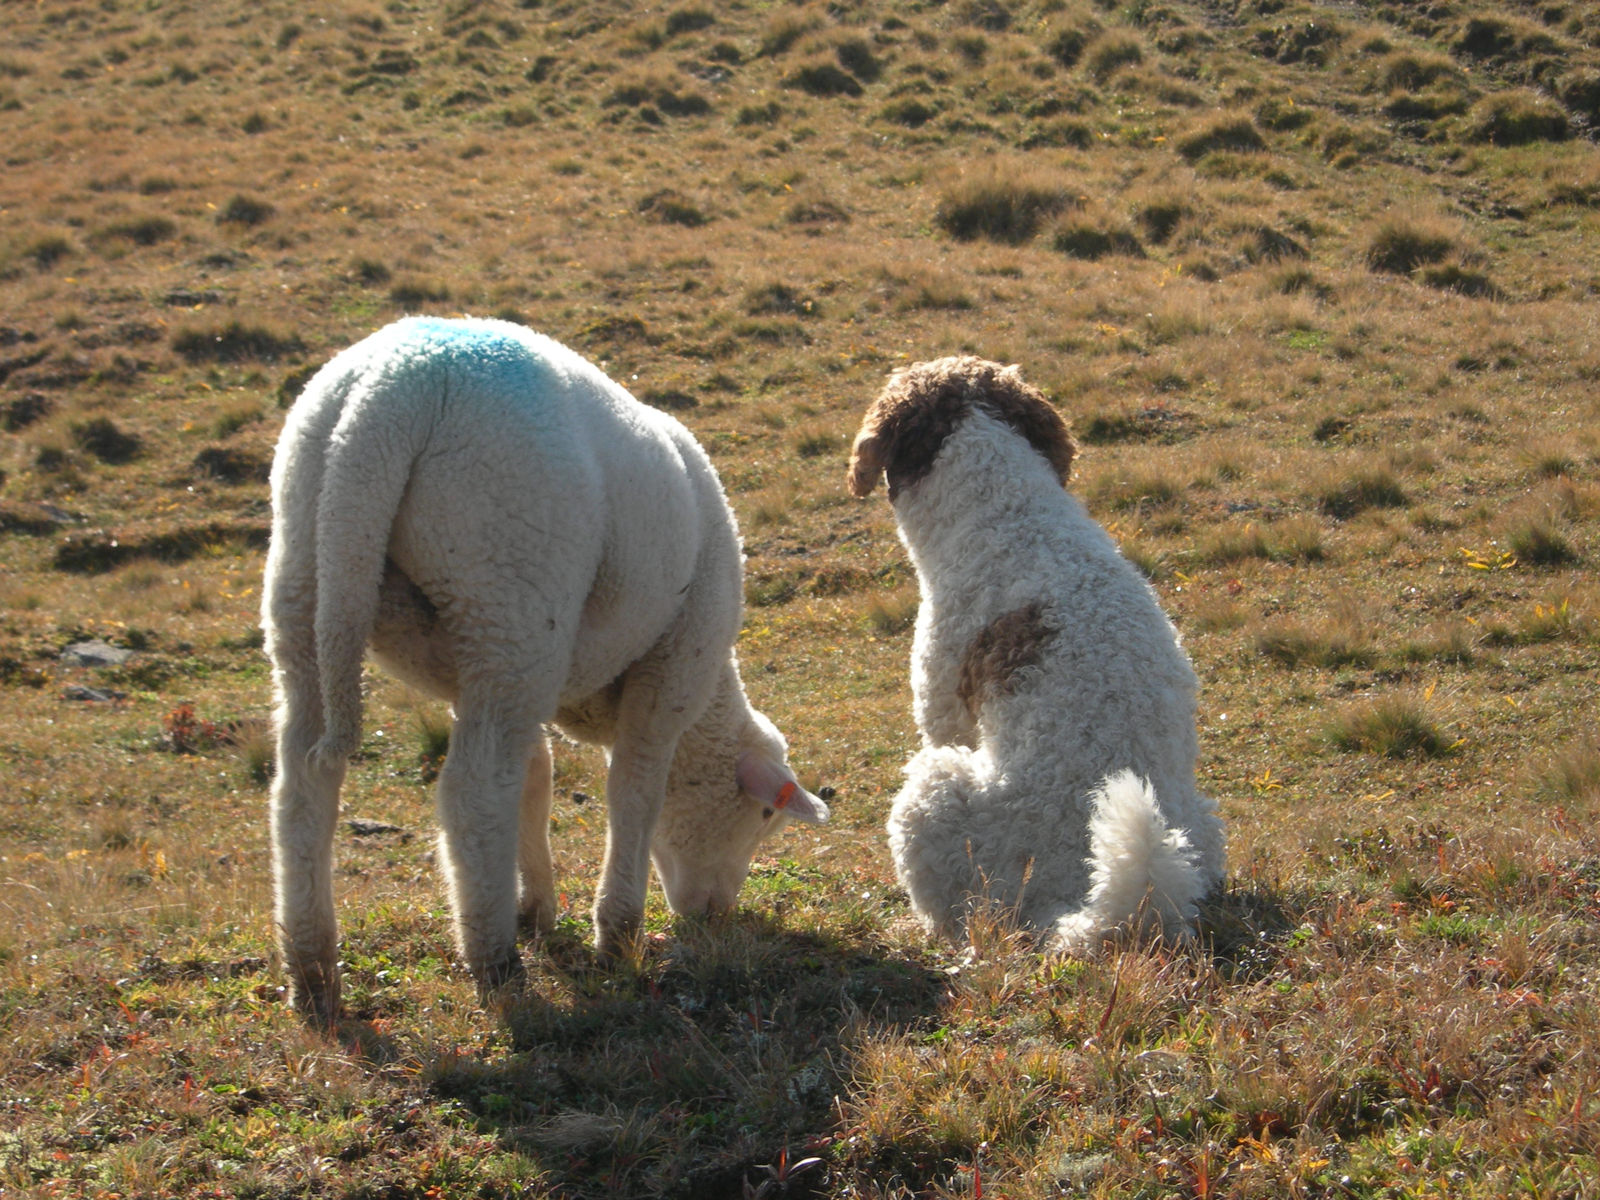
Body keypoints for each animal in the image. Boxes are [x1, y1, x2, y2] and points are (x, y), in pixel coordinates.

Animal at [263, 316, 828, 1022]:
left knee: (304, 777)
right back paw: (494, 962)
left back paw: (312, 970)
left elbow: (534, 776)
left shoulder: (485, 674)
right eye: (763, 817)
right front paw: (617, 935)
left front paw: (535, 907)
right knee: (474, 790)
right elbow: (634, 793)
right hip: (512, 580)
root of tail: (390, 394)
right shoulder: (673, 667)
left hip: (316, 574)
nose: (714, 916)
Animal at [847, 356, 1225, 950]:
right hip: (1200, 823)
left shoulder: (946, 715)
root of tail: (1090, 907)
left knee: (958, 915)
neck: (1007, 510)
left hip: (937, 790)